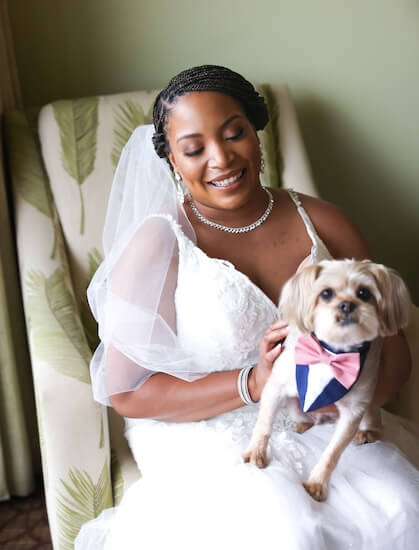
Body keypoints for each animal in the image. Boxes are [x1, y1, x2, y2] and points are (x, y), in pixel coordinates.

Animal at [244, 260, 412, 502]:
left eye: (364, 293)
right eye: (326, 293)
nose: (347, 305)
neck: (332, 351)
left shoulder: (353, 411)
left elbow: (332, 453)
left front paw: (317, 483)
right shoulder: (275, 387)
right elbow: (264, 424)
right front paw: (255, 452)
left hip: (369, 411)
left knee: (376, 426)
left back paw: (366, 434)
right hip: (295, 407)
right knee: (306, 421)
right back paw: (303, 427)